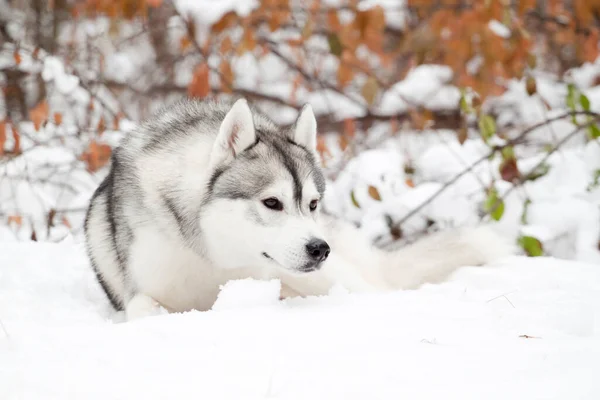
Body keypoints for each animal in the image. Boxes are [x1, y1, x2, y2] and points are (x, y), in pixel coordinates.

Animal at [85, 98, 516, 320]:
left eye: (312, 204)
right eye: (271, 203)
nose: (320, 248)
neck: (212, 255)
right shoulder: (141, 292)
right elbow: (143, 307)